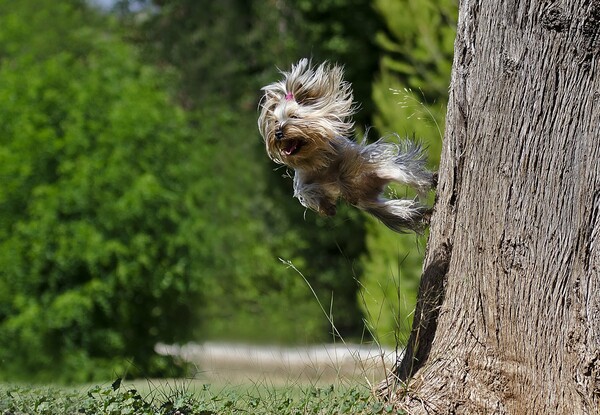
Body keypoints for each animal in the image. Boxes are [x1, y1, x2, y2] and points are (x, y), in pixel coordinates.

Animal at [258, 59, 436, 234]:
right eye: (275, 121)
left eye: (294, 116)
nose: (278, 133)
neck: (317, 157)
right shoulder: (303, 179)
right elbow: (307, 192)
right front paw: (328, 208)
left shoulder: (356, 155)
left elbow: (349, 167)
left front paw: (346, 181)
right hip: (378, 206)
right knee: (402, 211)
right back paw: (424, 215)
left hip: (388, 172)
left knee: (409, 175)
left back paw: (430, 181)